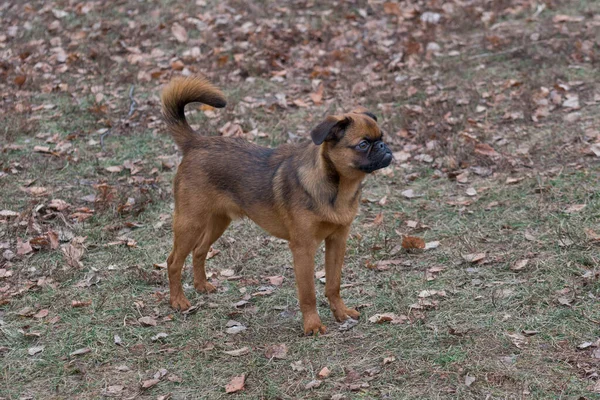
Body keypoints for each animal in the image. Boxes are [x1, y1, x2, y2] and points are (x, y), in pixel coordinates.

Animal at [162, 75, 392, 334]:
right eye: (363, 144)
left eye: (381, 138)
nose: (383, 147)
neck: (338, 189)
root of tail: (197, 143)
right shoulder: (303, 248)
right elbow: (308, 293)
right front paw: (313, 325)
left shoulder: (337, 241)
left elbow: (333, 284)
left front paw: (341, 313)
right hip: (190, 223)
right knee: (173, 261)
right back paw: (178, 301)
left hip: (218, 221)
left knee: (200, 250)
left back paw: (202, 286)